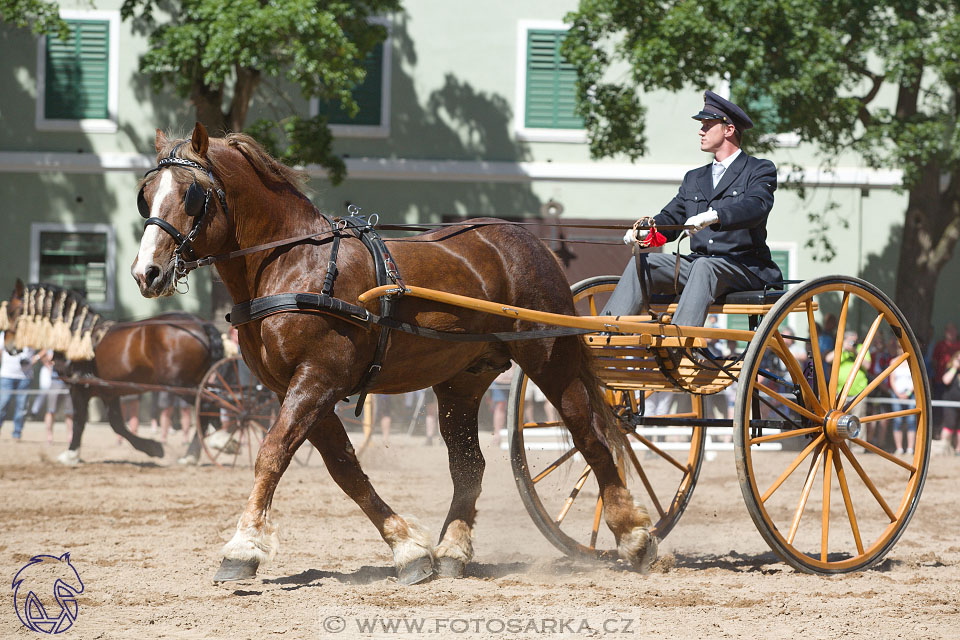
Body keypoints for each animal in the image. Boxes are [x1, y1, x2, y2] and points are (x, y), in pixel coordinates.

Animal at [5, 280, 223, 464]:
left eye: (12, 310)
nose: (8, 347)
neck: (76, 333)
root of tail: (200, 323)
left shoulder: (78, 388)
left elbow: (80, 421)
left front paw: (71, 453)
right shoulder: (109, 391)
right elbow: (117, 423)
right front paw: (152, 447)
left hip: (178, 384)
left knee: (207, 406)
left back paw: (198, 452)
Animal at [129, 122, 660, 588]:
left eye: (191, 195)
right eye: (146, 193)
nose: (145, 272)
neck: (293, 263)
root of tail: (530, 242)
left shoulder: (317, 380)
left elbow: (272, 454)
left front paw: (242, 548)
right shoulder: (297, 390)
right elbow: (345, 469)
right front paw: (408, 549)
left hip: (549, 361)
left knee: (592, 439)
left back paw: (633, 536)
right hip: (462, 382)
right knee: (470, 467)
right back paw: (453, 550)